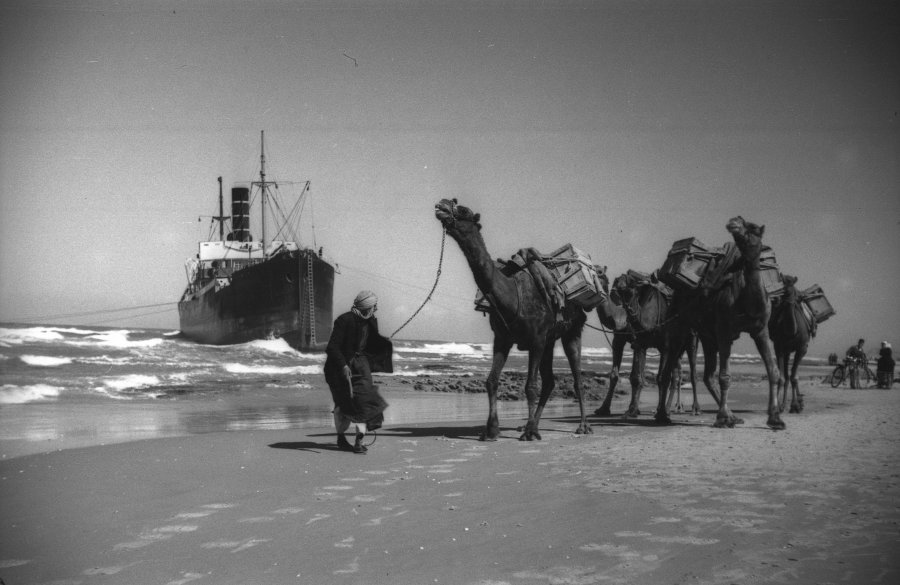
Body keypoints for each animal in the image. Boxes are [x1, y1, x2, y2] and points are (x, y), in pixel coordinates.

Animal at [434, 198, 596, 440]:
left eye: (462, 209)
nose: (441, 205)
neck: (512, 296)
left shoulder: (536, 339)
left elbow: (530, 386)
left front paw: (527, 433)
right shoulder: (503, 338)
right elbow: (491, 381)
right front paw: (491, 430)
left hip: (571, 331)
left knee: (576, 379)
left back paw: (582, 426)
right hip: (549, 340)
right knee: (549, 381)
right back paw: (534, 425)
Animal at [652, 217, 780, 426]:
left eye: (752, 228)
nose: (734, 222)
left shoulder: (761, 330)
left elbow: (773, 371)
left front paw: (776, 418)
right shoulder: (725, 329)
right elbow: (725, 376)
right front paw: (722, 417)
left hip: (706, 334)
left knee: (707, 375)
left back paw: (731, 415)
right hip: (681, 326)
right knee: (669, 370)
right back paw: (664, 415)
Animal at [768, 276, 816, 412]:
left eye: (793, 290)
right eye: (783, 288)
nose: (789, 301)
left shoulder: (802, 348)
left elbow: (794, 377)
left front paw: (795, 406)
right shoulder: (779, 347)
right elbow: (782, 377)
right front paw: (779, 405)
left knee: (794, 374)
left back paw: (798, 402)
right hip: (787, 351)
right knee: (787, 375)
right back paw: (784, 404)